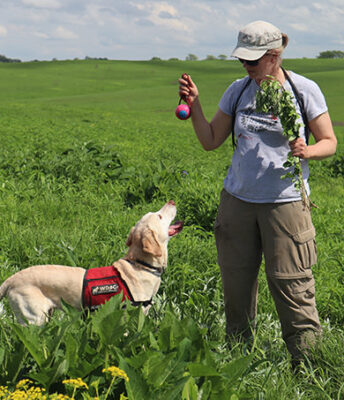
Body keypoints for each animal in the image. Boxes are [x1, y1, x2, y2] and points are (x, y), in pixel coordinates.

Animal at [0, 200, 184, 324]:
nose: (172, 201)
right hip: (34, 319)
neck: (140, 265)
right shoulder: (126, 317)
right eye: (159, 216)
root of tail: (11, 279)